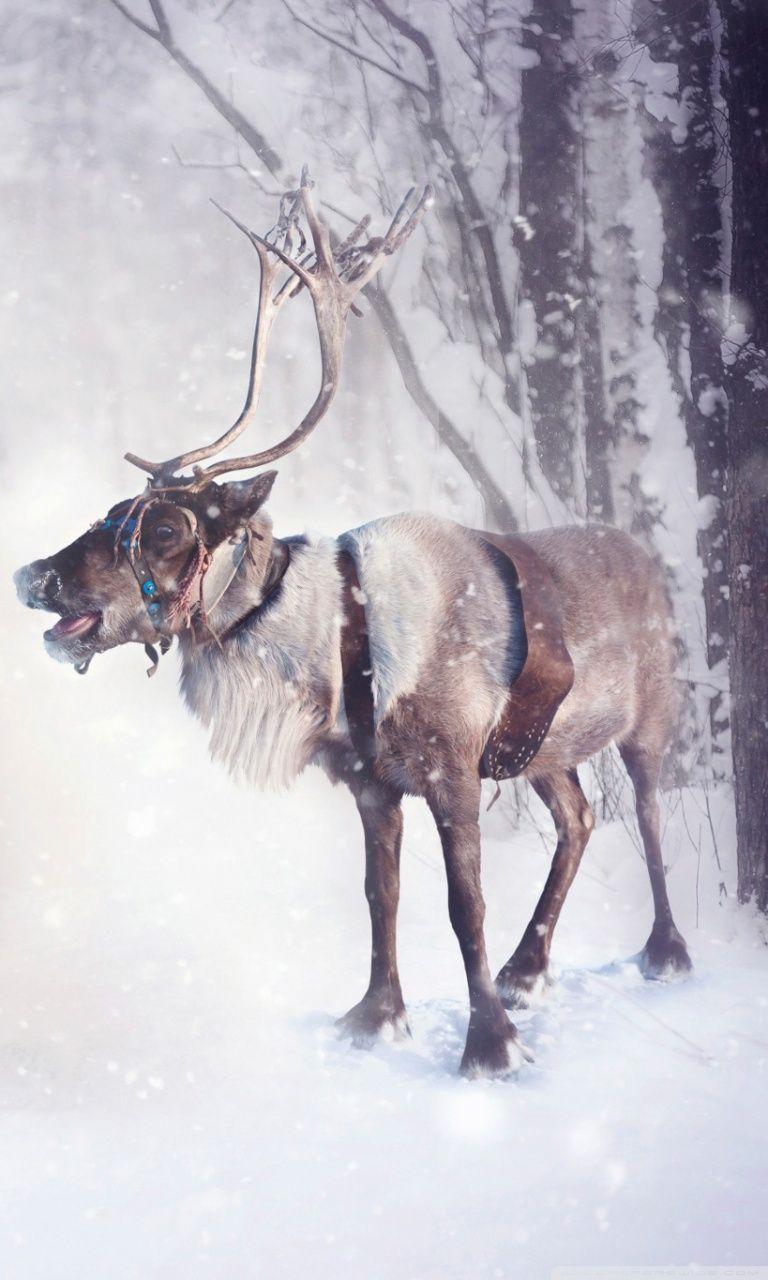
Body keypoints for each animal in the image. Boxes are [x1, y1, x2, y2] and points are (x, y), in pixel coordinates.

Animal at [14, 169, 692, 1078]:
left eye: (164, 530)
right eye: (115, 509)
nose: (32, 575)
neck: (340, 650)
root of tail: (649, 556)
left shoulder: (451, 767)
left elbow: (463, 903)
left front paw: (488, 1045)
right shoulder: (371, 780)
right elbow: (382, 893)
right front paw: (375, 1017)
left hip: (651, 715)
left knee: (649, 815)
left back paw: (663, 952)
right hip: (545, 748)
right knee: (579, 819)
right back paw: (527, 970)